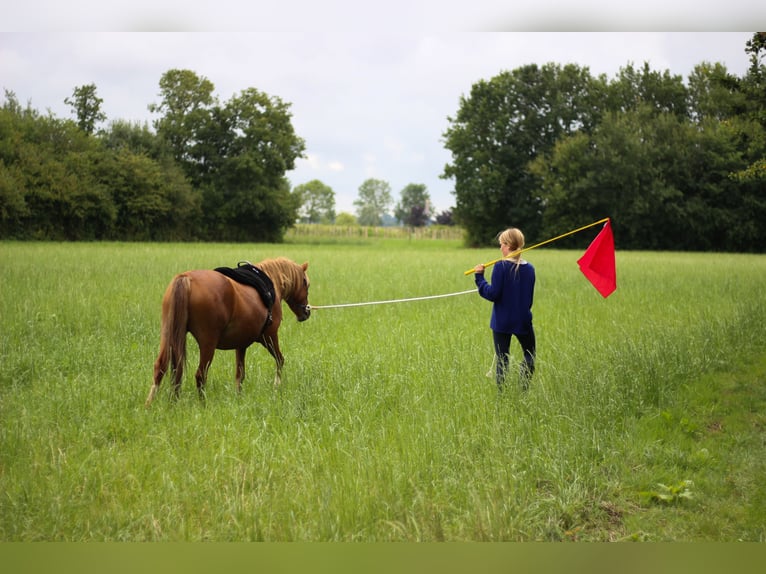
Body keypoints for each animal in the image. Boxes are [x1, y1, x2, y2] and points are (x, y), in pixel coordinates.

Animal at [146, 258, 310, 408]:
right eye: (306, 284)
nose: (306, 312)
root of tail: (186, 278)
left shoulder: (241, 344)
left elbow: (240, 374)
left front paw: (238, 398)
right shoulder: (269, 336)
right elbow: (280, 360)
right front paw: (277, 386)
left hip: (168, 335)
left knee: (161, 368)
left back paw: (151, 404)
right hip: (208, 343)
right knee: (200, 375)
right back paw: (203, 405)